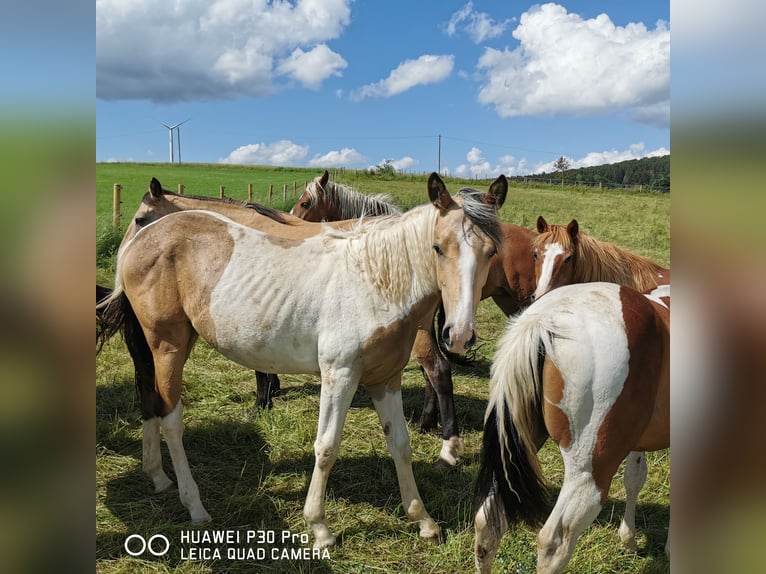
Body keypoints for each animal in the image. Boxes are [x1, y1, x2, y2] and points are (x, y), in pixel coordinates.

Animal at [99, 174, 508, 548]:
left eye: (492, 252)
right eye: (438, 247)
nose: (460, 334)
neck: (375, 282)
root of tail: (138, 244)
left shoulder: (385, 379)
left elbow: (401, 446)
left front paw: (423, 521)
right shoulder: (340, 376)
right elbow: (326, 448)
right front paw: (320, 529)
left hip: (165, 347)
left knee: (149, 399)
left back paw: (158, 477)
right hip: (167, 346)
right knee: (171, 419)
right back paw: (195, 505)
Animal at [474, 284, 672, 574]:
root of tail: (545, 320)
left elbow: (635, 477)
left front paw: (630, 540)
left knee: (487, 523)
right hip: (589, 474)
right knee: (554, 544)